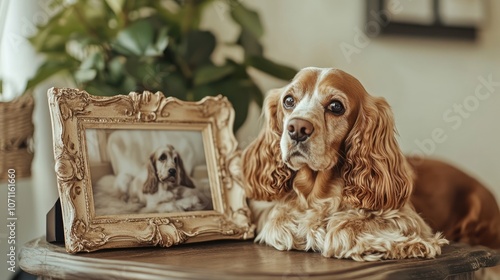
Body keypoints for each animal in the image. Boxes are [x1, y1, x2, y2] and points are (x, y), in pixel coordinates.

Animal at [242, 67, 450, 260]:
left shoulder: (408, 217)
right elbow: (280, 221)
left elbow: (344, 227)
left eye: (336, 106)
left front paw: (413, 244)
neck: (317, 192)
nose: (297, 128)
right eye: (288, 101)